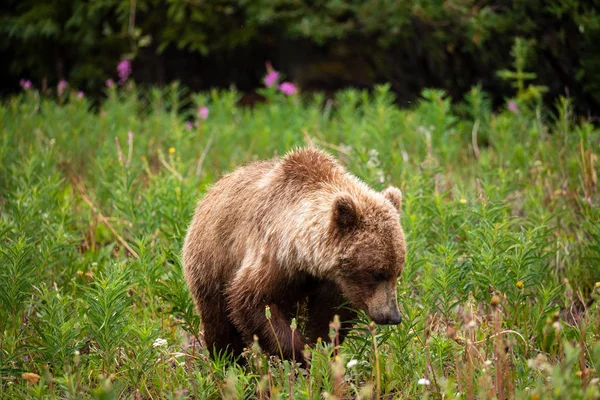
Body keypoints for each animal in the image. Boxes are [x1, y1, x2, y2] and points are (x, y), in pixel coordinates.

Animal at [184, 147, 404, 362]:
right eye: (377, 273)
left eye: (397, 272)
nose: (393, 316)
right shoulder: (273, 256)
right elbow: (252, 302)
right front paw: (301, 351)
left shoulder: (333, 282)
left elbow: (330, 316)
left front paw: (321, 350)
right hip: (211, 259)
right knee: (217, 319)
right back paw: (228, 360)